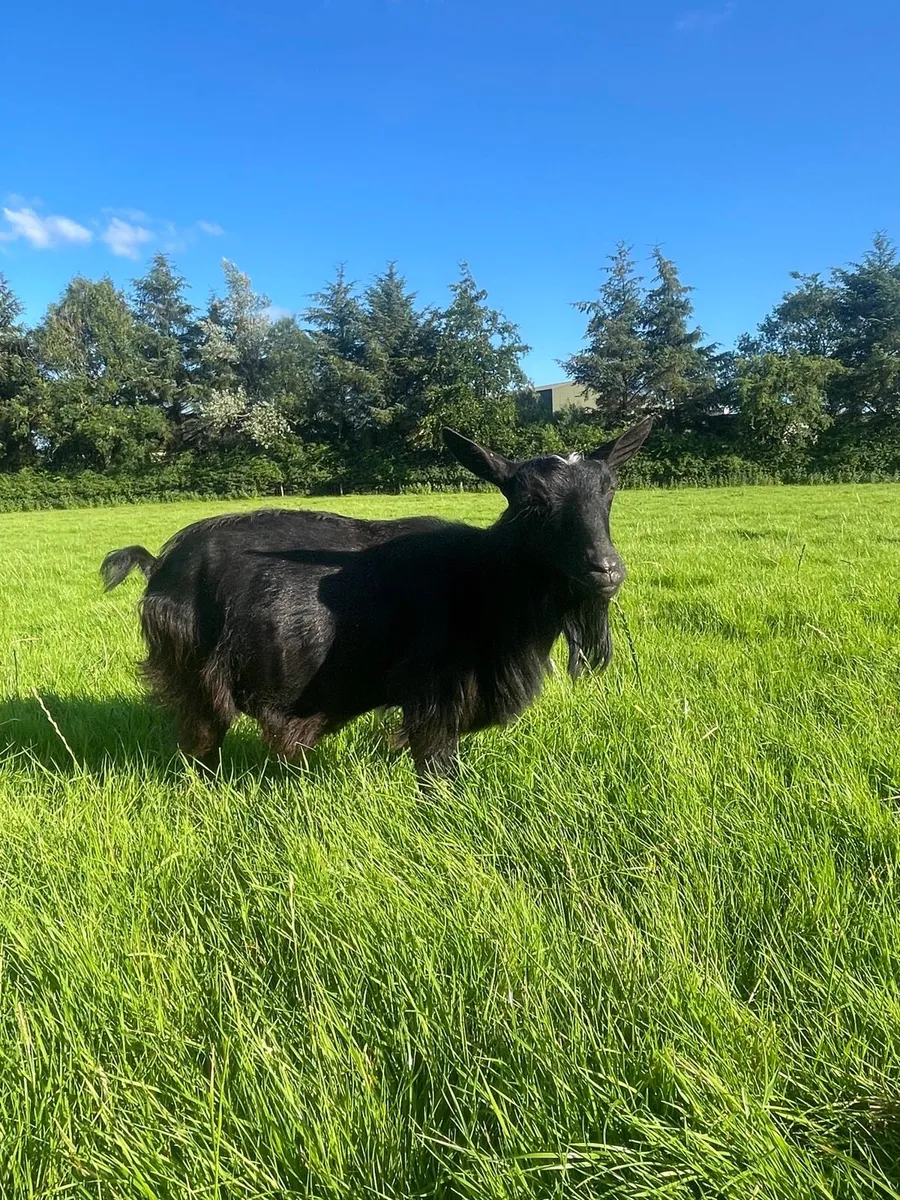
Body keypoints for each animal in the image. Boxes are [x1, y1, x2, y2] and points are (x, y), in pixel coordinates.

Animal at [101, 419, 651, 780]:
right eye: (529, 500)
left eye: (609, 491)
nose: (604, 570)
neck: (483, 577)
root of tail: (158, 563)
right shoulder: (434, 697)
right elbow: (438, 772)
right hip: (197, 673)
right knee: (200, 743)